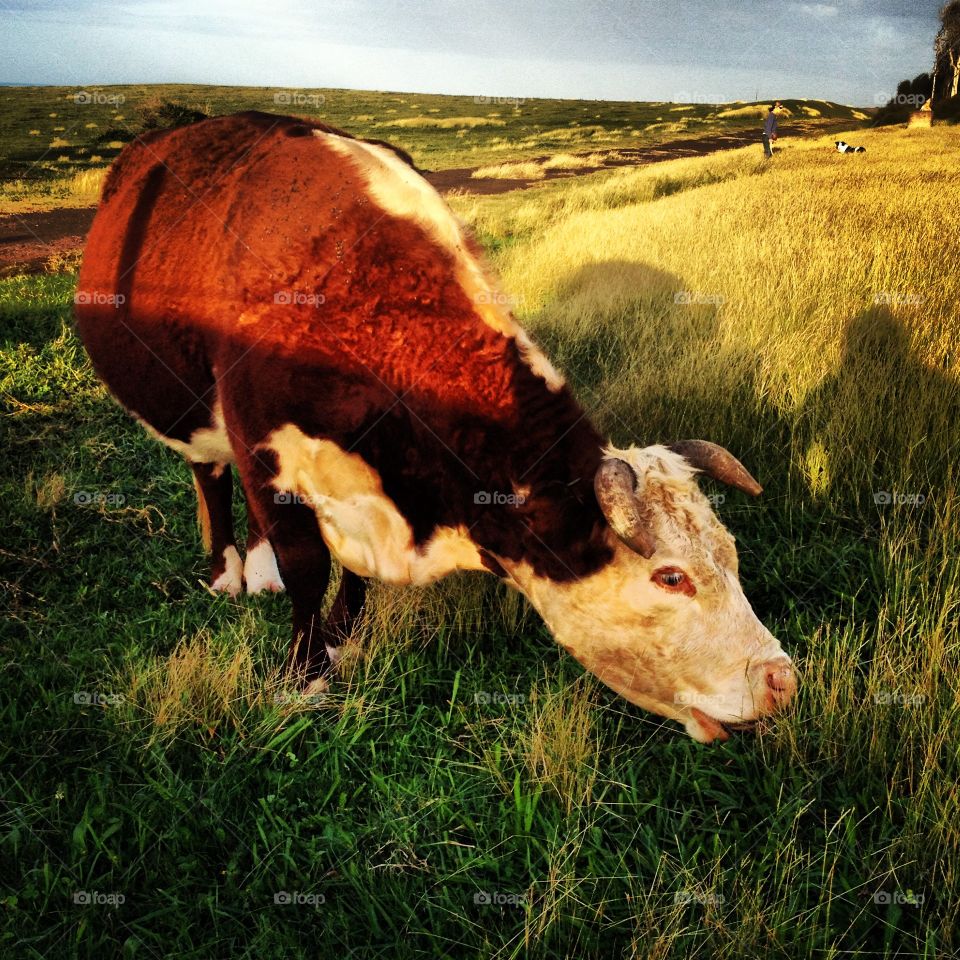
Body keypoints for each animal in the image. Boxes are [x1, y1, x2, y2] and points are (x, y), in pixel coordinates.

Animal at [74, 111, 796, 743]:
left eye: (730, 553)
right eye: (671, 577)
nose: (782, 680)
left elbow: (346, 569)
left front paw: (341, 640)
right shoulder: (262, 440)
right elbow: (307, 562)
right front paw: (303, 676)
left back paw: (258, 567)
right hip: (188, 404)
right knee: (208, 471)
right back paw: (229, 570)